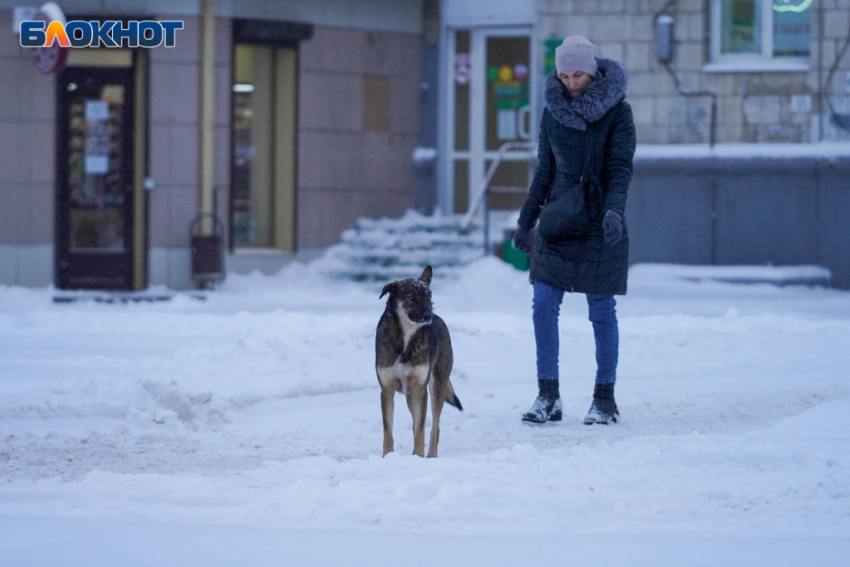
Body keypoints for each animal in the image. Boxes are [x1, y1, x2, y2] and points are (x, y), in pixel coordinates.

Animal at [374, 266, 460, 458]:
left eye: (428, 296)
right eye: (411, 297)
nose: (428, 315)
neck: (406, 338)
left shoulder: (420, 389)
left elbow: (421, 429)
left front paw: (418, 458)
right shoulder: (387, 390)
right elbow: (388, 430)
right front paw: (387, 457)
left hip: (436, 387)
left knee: (435, 427)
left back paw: (431, 456)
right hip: (410, 395)